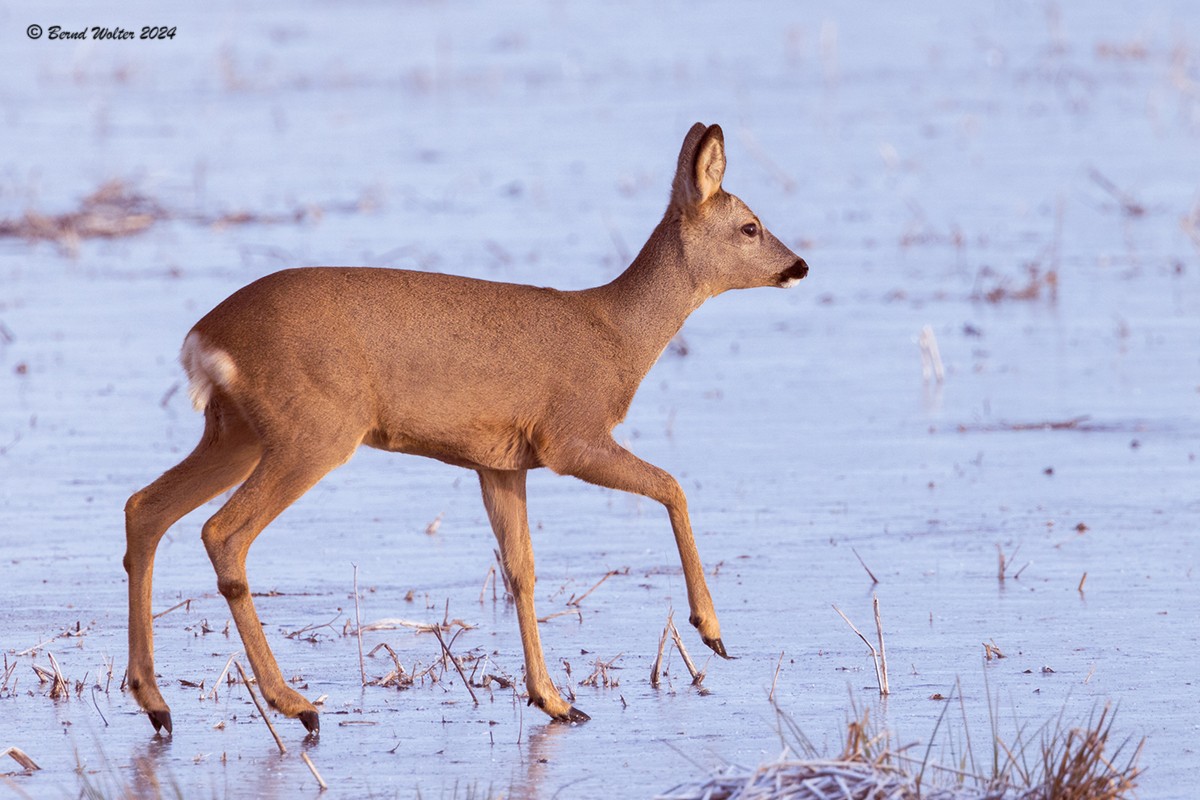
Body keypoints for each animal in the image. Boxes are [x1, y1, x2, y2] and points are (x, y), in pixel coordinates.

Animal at [123, 122, 809, 735]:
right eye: (750, 226)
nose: (799, 265)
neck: (616, 335)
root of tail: (205, 337)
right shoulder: (571, 436)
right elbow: (672, 485)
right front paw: (711, 630)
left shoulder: (499, 462)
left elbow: (521, 571)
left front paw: (554, 701)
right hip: (311, 431)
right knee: (223, 531)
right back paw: (297, 705)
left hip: (236, 431)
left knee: (145, 508)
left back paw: (156, 703)